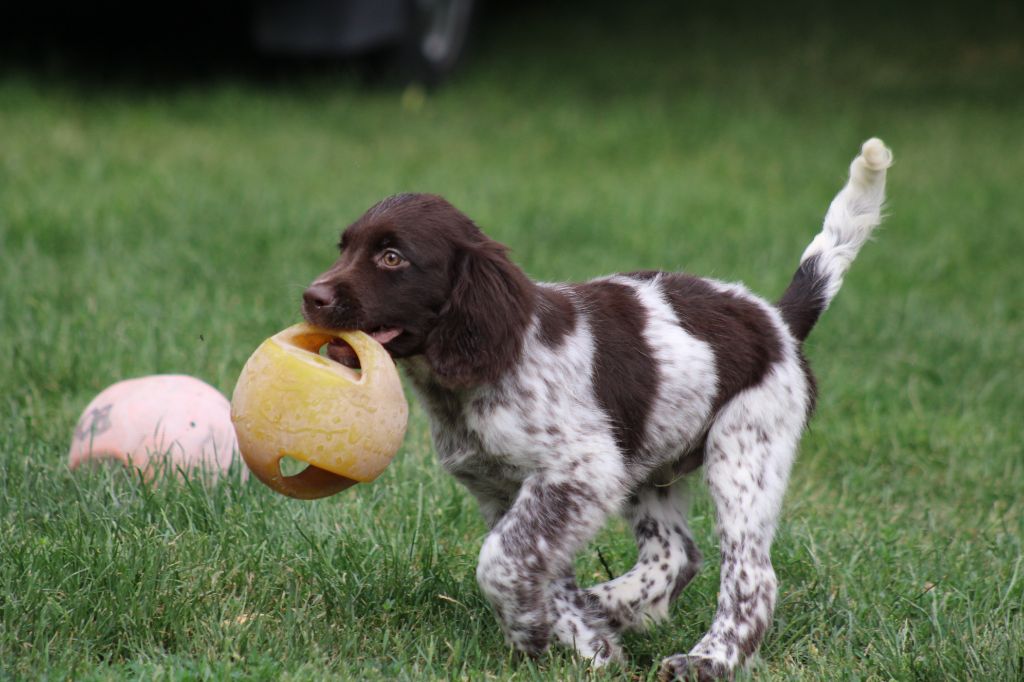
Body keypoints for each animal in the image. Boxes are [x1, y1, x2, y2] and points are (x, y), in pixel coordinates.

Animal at [301, 139, 888, 679]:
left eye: (392, 257)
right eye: (343, 248)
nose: (311, 297)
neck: (485, 367)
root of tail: (777, 319)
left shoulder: (579, 470)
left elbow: (500, 561)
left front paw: (533, 632)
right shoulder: (509, 489)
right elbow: (538, 567)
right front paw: (588, 643)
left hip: (743, 451)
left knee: (751, 576)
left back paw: (707, 659)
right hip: (650, 463)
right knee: (674, 555)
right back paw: (608, 605)